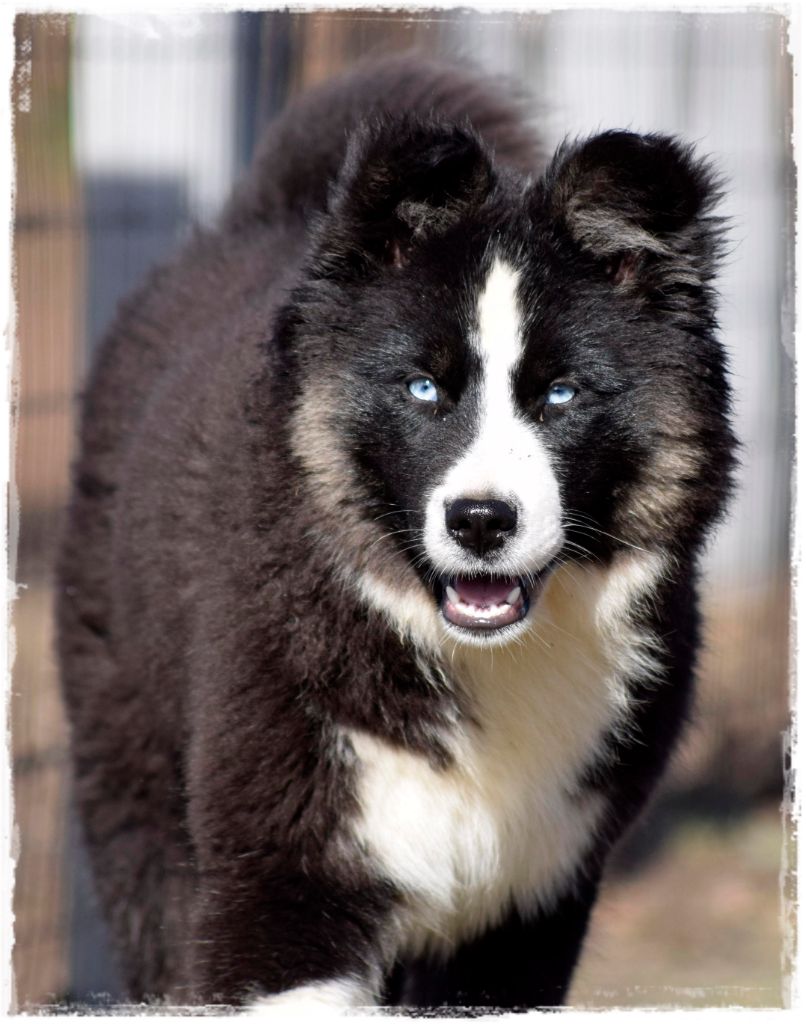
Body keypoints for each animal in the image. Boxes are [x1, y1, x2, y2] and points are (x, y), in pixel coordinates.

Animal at [57, 54, 736, 1010]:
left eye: (561, 394)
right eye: (423, 388)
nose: (481, 521)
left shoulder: (532, 907)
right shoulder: (285, 885)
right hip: (135, 776)